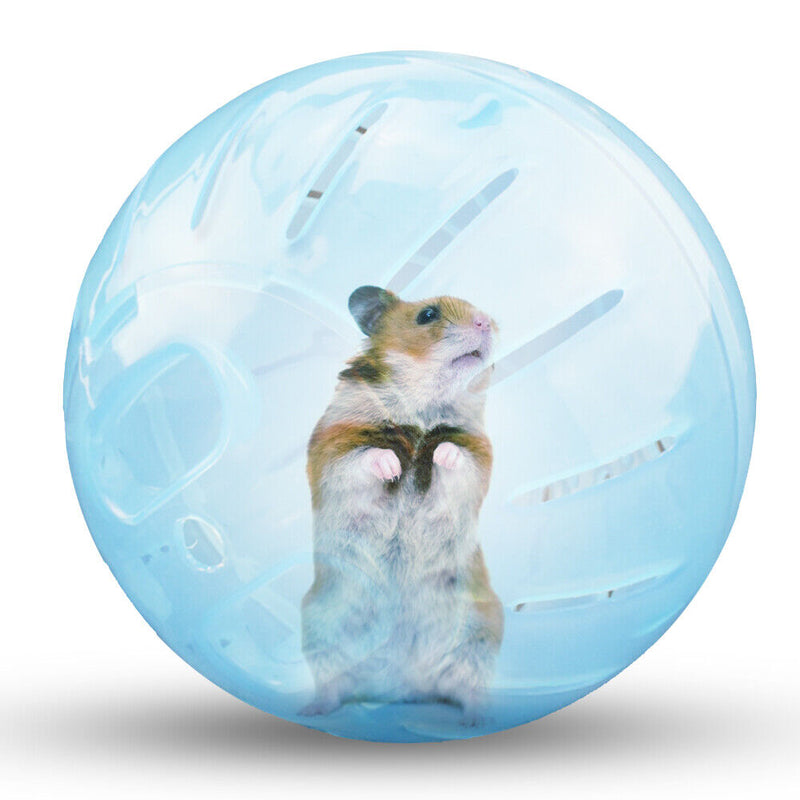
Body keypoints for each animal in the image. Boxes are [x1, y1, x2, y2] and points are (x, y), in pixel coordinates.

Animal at [301, 285, 503, 721]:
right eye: (427, 315)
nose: (487, 321)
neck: (423, 408)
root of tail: (403, 686)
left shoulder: (477, 454)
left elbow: (455, 457)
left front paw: (440, 455)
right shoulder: (333, 448)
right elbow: (364, 458)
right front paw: (393, 466)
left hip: (481, 629)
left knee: (468, 686)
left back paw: (477, 717)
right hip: (319, 624)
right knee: (331, 682)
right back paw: (311, 709)